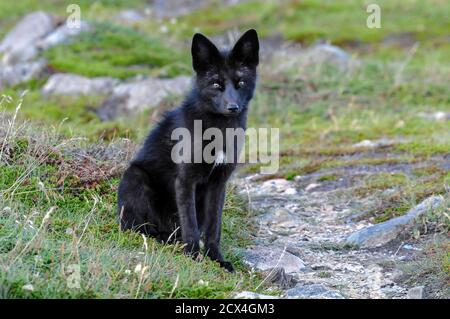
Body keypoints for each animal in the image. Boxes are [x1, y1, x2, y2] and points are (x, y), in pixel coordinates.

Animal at [117, 28, 260, 272]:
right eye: (216, 84)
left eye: (240, 82)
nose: (233, 107)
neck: (218, 131)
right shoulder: (185, 180)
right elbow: (191, 226)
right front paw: (193, 256)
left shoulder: (218, 184)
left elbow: (214, 228)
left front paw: (217, 260)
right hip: (135, 177)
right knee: (143, 229)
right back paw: (166, 241)